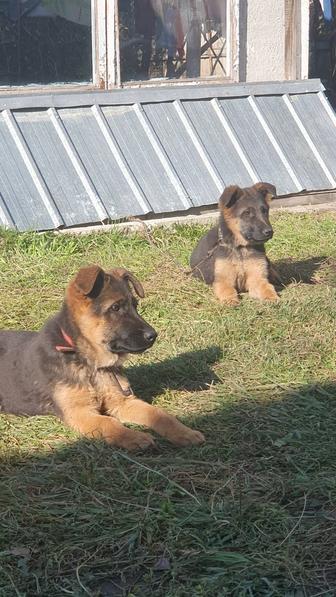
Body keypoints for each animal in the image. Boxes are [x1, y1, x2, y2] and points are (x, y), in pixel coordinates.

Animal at [0, 264, 205, 450]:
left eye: (135, 305)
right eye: (115, 307)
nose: (153, 335)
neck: (89, 363)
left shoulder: (121, 401)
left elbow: (158, 414)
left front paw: (184, 432)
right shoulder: (80, 413)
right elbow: (109, 422)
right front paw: (135, 437)